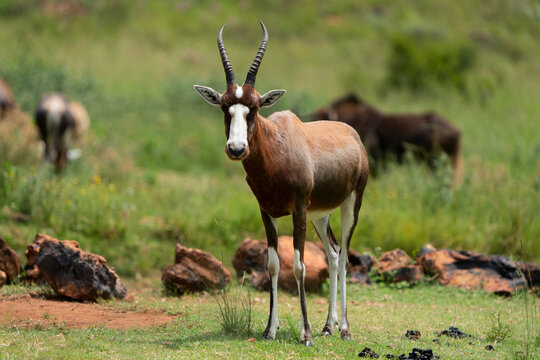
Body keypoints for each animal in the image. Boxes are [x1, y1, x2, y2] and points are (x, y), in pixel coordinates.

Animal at [195, 22, 372, 346]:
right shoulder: (267, 212)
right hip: (320, 215)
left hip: (351, 205)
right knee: (333, 253)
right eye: (225, 108)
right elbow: (273, 265)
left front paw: (305, 334)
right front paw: (270, 330)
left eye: (253, 108)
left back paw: (343, 329)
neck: (279, 146)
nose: (236, 148)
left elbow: (299, 266)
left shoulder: (298, 210)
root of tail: (352, 134)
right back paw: (328, 326)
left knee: (343, 258)